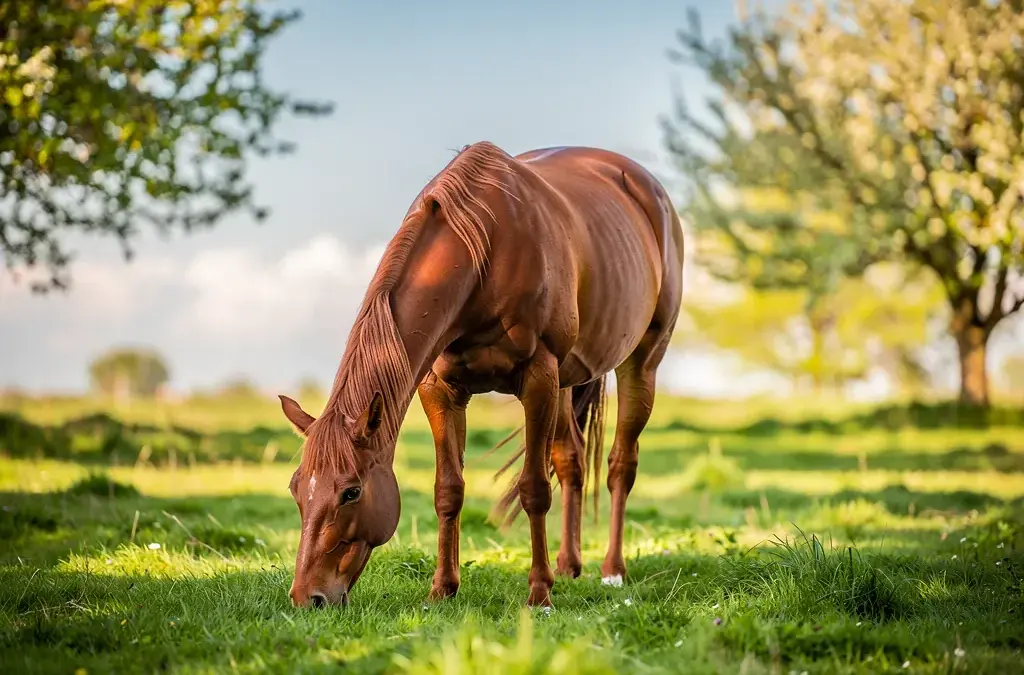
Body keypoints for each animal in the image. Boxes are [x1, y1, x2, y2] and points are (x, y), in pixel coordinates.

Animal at [279, 141, 684, 608]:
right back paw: (569, 564)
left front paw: (539, 594)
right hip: (567, 382)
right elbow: (448, 489)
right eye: (296, 488)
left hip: (641, 361)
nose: (308, 597)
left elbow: (534, 489)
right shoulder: (442, 389)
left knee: (621, 465)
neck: (486, 254)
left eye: (351, 492)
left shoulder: (538, 379)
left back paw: (612, 570)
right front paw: (442, 588)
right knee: (572, 462)